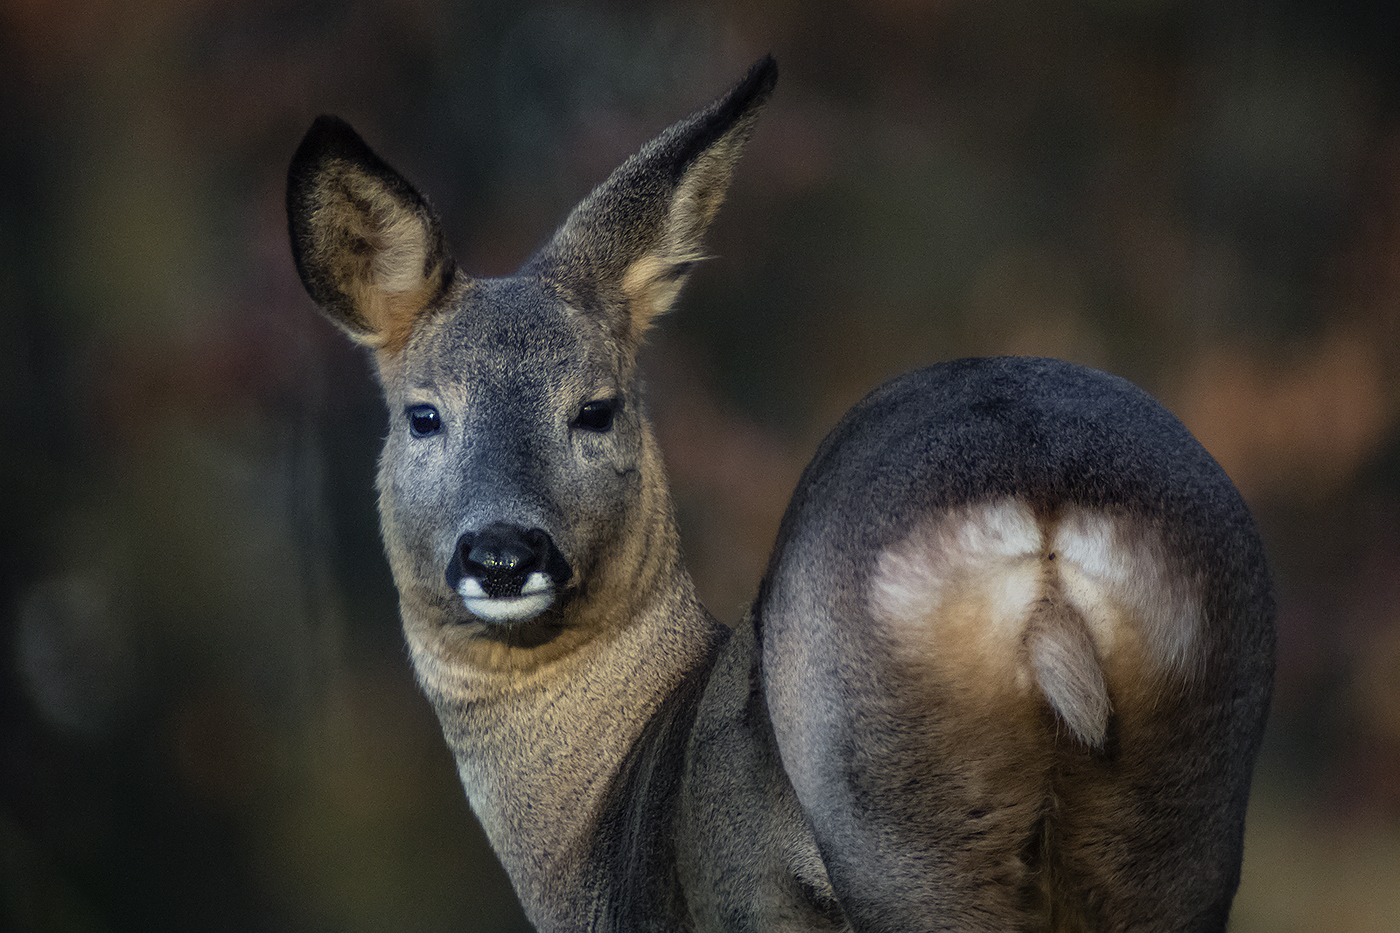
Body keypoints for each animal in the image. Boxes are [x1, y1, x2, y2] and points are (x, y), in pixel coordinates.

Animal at [287, 58, 1282, 930]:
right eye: (423, 414)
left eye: (597, 409)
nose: (502, 552)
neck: (605, 820)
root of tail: (1041, 512)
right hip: (1189, 810)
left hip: (896, 817)